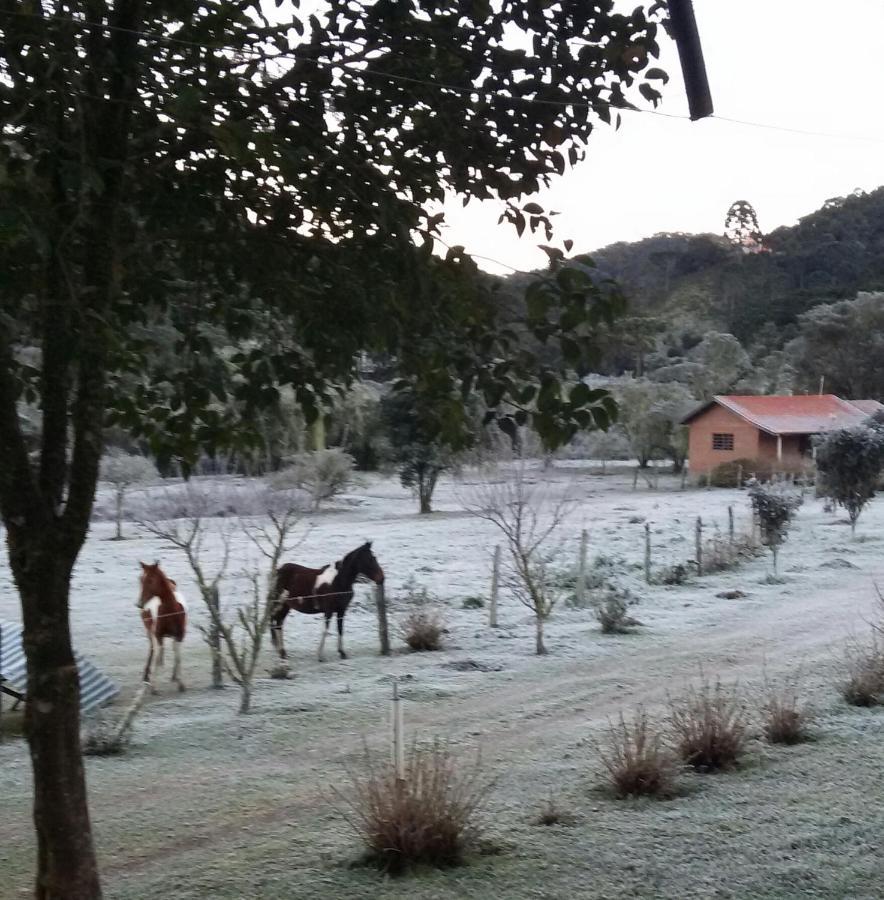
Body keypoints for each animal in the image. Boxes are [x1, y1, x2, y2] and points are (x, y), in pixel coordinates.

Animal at [137, 560, 187, 692]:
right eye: (140, 579)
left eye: (150, 580)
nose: (139, 604)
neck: (170, 611)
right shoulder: (157, 635)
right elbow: (157, 657)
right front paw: (153, 687)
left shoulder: (180, 636)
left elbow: (178, 656)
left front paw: (181, 683)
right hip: (150, 632)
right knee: (153, 650)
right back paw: (147, 676)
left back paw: (173, 676)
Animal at [272, 536, 386, 664]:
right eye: (370, 559)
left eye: (374, 558)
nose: (382, 578)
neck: (339, 581)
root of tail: (278, 571)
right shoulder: (328, 611)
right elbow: (325, 630)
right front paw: (320, 656)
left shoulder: (341, 610)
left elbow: (340, 629)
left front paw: (342, 653)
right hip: (280, 604)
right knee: (277, 622)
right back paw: (281, 652)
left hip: (286, 606)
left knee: (279, 623)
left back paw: (282, 652)